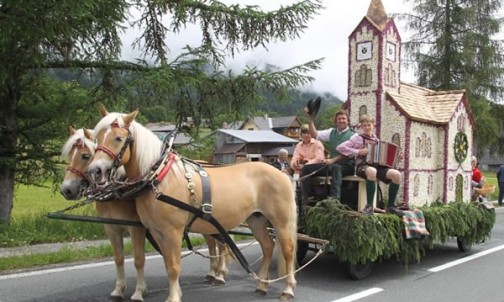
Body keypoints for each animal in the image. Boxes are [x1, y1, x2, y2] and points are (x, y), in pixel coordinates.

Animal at [61, 126, 232, 300]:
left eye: (85, 156)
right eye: (70, 154)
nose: (66, 190)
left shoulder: (137, 228)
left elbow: (139, 260)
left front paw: (139, 291)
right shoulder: (112, 229)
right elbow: (119, 259)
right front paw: (119, 289)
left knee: (221, 243)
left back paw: (220, 274)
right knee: (211, 242)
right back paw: (212, 272)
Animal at [86, 107, 300, 302]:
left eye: (118, 138)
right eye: (97, 138)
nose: (95, 171)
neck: (159, 178)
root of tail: (281, 173)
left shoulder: (172, 231)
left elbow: (174, 266)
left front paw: (173, 297)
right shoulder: (156, 231)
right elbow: (167, 262)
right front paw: (176, 292)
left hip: (281, 221)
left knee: (288, 250)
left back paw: (288, 289)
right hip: (256, 219)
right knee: (268, 247)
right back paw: (262, 286)